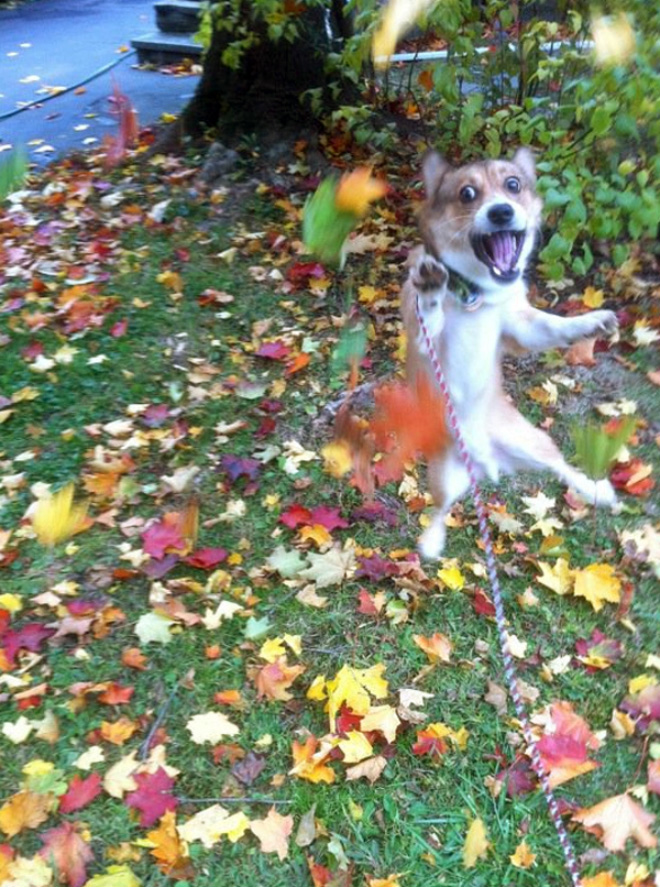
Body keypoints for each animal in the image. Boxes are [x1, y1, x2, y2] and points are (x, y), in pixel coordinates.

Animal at [400, 148, 620, 560]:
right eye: (467, 193)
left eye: (513, 185)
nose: (501, 211)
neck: (476, 295)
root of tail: (488, 461)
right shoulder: (424, 337)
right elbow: (430, 311)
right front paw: (433, 286)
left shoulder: (521, 326)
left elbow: (554, 325)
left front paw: (591, 322)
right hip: (444, 475)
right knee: (440, 509)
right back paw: (431, 542)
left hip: (532, 442)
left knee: (561, 468)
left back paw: (595, 490)